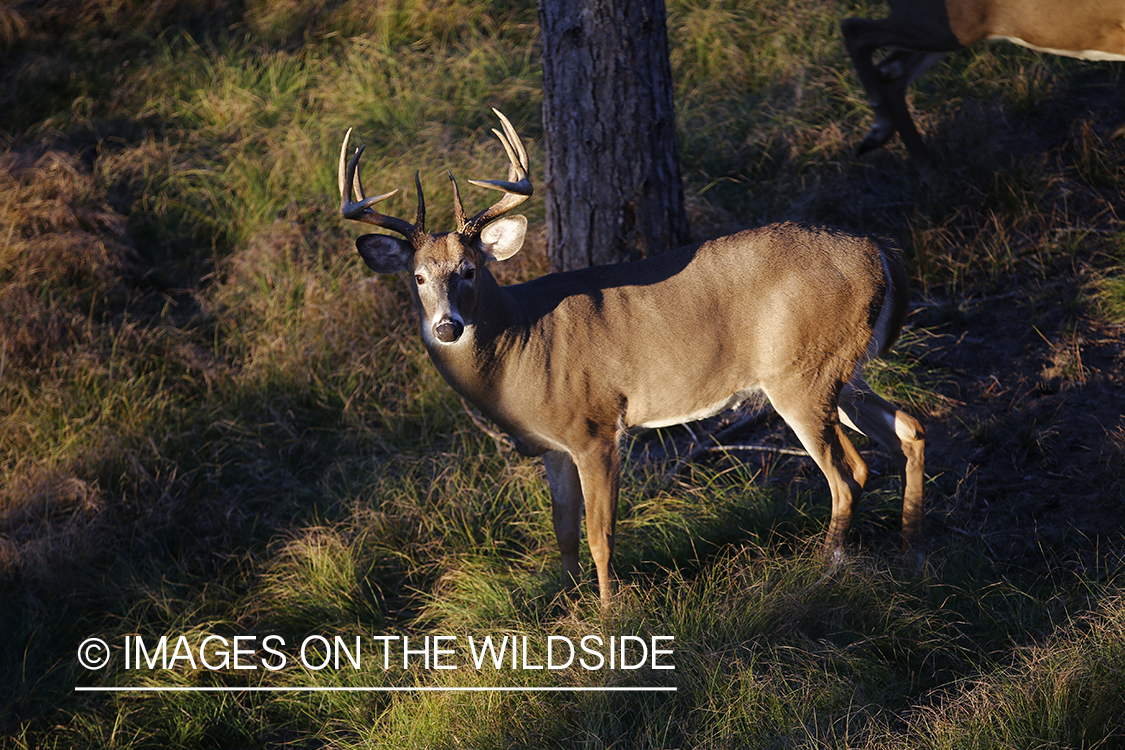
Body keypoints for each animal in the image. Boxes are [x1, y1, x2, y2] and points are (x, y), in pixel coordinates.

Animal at [337, 108, 927, 607]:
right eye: (417, 277)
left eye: (469, 269)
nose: (447, 326)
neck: (519, 347)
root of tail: (881, 250)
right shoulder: (553, 447)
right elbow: (564, 533)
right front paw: (563, 607)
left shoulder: (595, 428)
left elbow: (600, 534)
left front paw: (608, 614)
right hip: (840, 369)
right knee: (908, 428)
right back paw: (909, 551)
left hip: (801, 375)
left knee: (849, 472)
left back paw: (827, 569)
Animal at [846, 0, 1125, 170]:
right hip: (949, 24)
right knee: (856, 30)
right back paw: (880, 131)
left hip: (952, 28)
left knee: (892, 71)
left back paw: (926, 170)